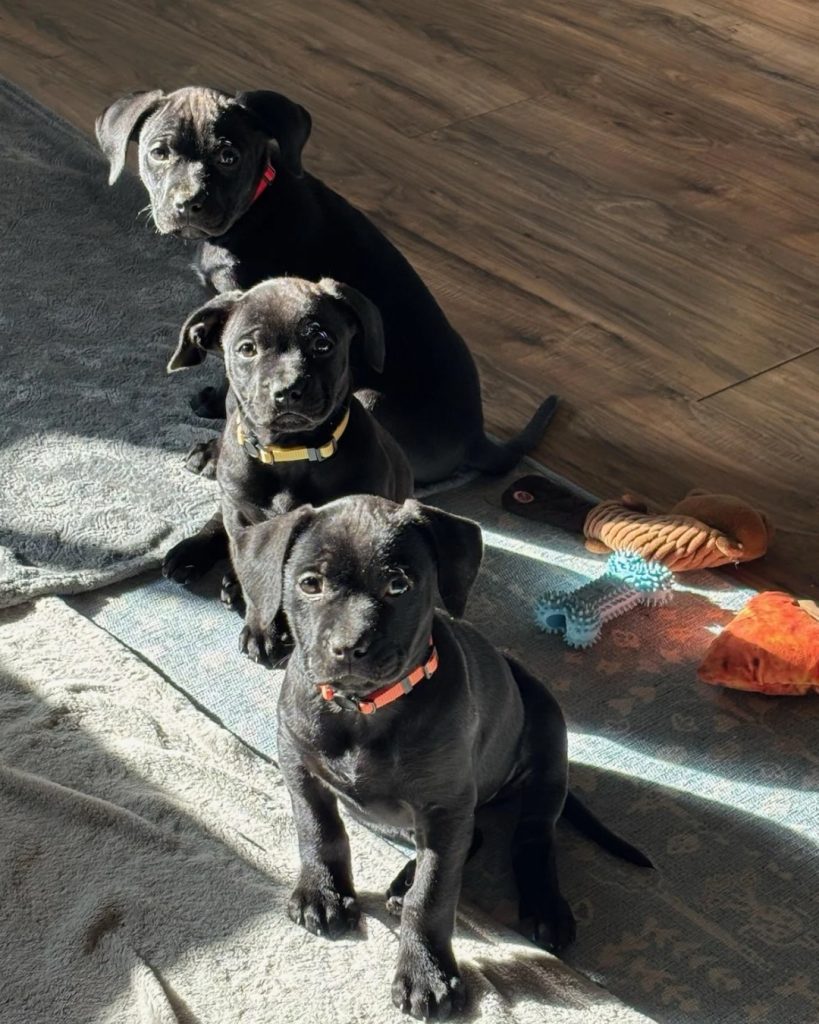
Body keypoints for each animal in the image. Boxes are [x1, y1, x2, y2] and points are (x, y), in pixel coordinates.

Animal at [95, 86, 557, 485]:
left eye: (228, 156)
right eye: (159, 153)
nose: (188, 204)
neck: (251, 212)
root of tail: (478, 441)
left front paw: (215, 450)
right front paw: (214, 403)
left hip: (370, 401)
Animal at [162, 277, 413, 656]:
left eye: (322, 343)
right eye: (247, 349)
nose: (288, 390)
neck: (290, 454)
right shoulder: (240, 514)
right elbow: (257, 574)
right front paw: (260, 627)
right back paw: (193, 551)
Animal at [234, 494, 650, 1019]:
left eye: (398, 584)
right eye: (311, 583)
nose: (349, 648)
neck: (364, 710)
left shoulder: (445, 806)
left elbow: (433, 895)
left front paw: (425, 973)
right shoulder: (296, 761)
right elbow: (319, 831)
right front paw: (322, 894)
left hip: (548, 747)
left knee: (530, 839)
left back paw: (543, 907)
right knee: (474, 840)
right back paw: (400, 882)